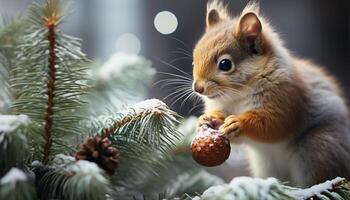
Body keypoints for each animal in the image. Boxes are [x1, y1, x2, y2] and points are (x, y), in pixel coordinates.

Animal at [193, 0, 350, 188]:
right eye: (194, 60)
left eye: (225, 64)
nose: (197, 88)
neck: (237, 96)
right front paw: (207, 118)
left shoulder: (286, 98)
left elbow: (274, 124)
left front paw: (238, 123)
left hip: (319, 149)